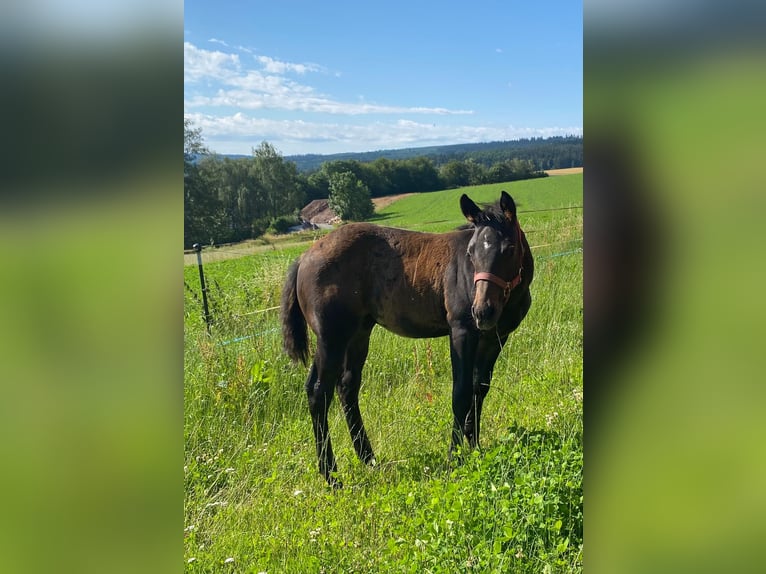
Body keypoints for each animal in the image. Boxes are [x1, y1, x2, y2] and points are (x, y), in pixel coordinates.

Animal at [280, 192, 536, 486]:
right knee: (318, 391)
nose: (482, 312)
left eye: (509, 248)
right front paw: (455, 458)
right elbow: (460, 392)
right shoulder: (462, 331)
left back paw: (368, 458)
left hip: (358, 334)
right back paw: (331, 475)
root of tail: (303, 258)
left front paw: (475, 449)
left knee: (347, 387)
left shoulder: (495, 337)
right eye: (471, 253)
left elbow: (478, 388)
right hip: (331, 337)